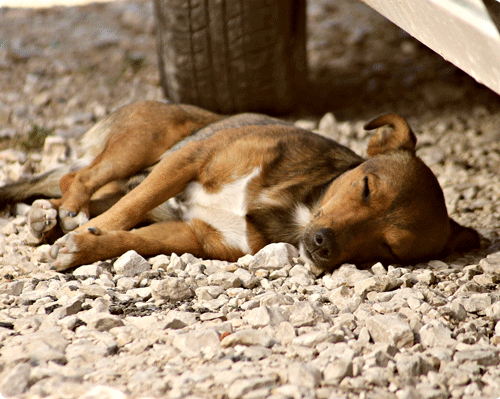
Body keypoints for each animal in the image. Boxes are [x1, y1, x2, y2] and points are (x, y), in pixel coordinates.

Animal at [0, 101, 478, 276]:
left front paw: (85, 246)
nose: (322, 244)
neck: (297, 207)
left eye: (390, 248)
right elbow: (127, 213)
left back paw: (50, 218)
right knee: (80, 179)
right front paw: (83, 235)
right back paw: (64, 214)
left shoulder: (196, 236)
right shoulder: (188, 160)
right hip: (146, 144)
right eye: (364, 188)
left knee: (80, 187)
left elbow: (131, 239)